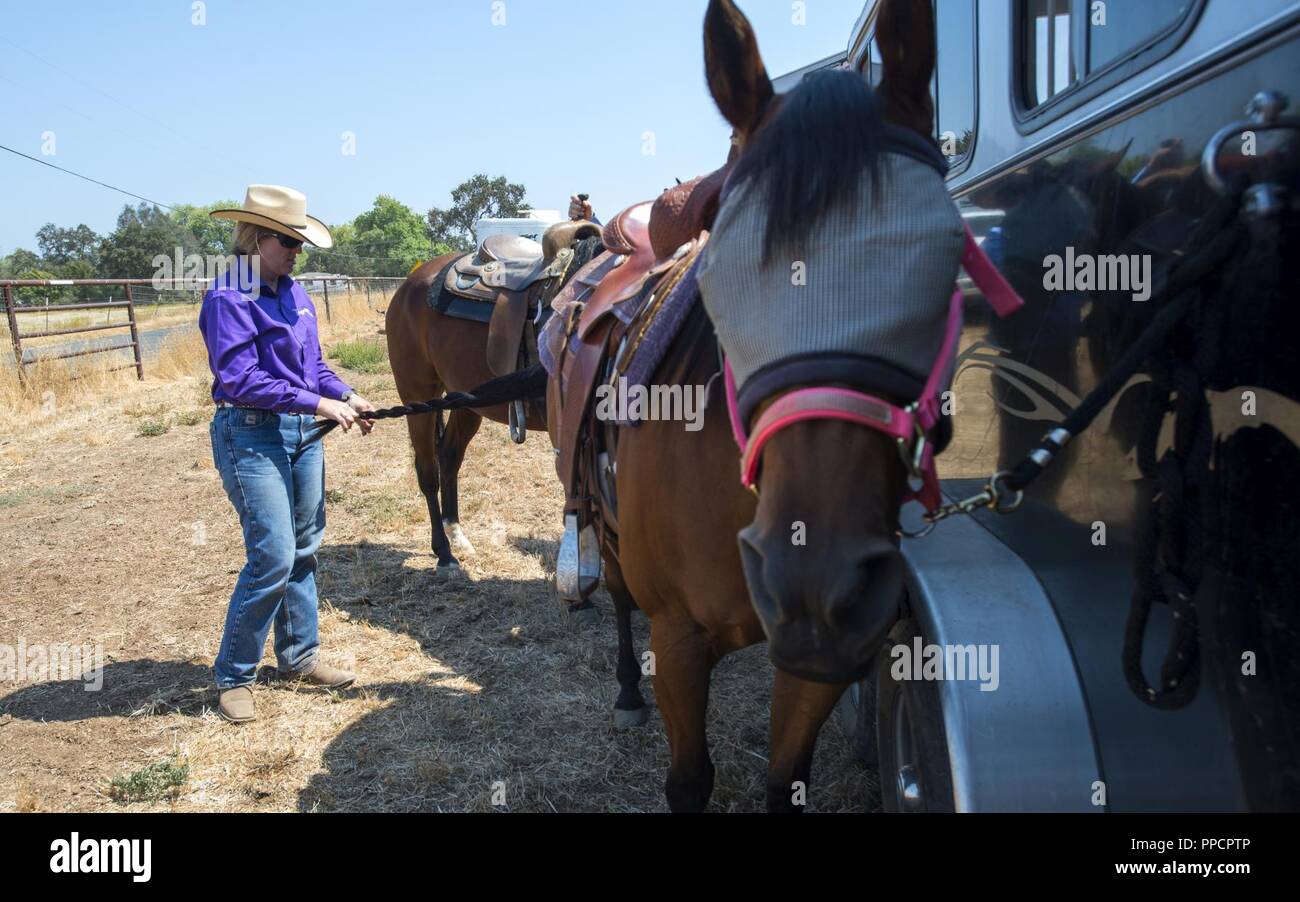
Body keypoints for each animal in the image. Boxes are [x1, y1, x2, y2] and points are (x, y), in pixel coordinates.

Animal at [548, 0, 946, 811]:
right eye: (727, 270)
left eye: (946, 252)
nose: (820, 586)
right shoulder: (678, 637)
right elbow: (688, 779)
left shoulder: (813, 668)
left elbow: (784, 778)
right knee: (620, 598)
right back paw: (626, 691)